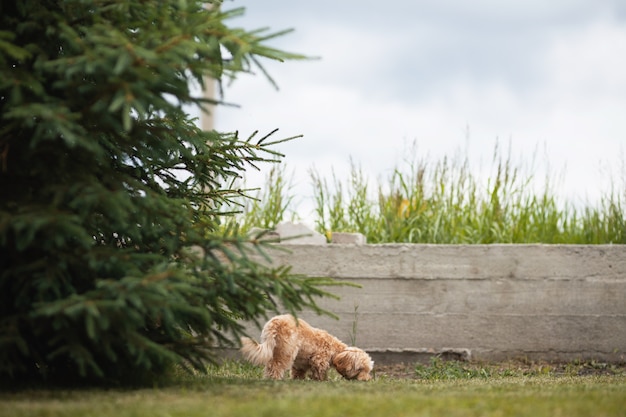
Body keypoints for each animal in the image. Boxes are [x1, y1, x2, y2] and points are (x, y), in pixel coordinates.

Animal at [241, 314, 372, 378]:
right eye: (360, 369)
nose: (366, 380)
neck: (336, 351)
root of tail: (275, 323)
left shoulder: (300, 365)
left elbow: (297, 373)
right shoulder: (319, 361)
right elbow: (320, 373)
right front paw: (322, 381)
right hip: (285, 351)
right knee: (275, 366)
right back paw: (274, 379)